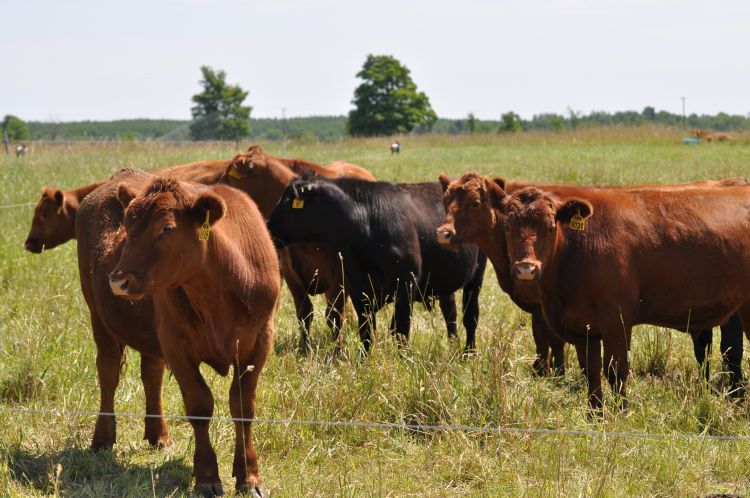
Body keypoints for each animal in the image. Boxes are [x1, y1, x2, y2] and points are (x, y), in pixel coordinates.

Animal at [222, 146, 376, 352]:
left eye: (228, 178)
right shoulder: (289, 272)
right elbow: (304, 313)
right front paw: (305, 349)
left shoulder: (339, 272)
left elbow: (334, 315)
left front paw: (338, 351)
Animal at [268, 175, 490, 354]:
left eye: (288, 202)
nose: (267, 227)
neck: (366, 224)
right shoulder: (358, 289)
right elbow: (366, 331)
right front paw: (366, 361)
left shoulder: (405, 285)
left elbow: (401, 330)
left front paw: (403, 360)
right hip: (443, 279)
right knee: (450, 313)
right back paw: (453, 345)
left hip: (476, 276)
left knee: (470, 316)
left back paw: (469, 353)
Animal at [438, 174, 748, 390]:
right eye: (508, 226)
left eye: (475, 203)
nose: (443, 232)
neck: (577, 245)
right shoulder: (574, 322)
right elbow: (589, 372)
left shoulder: (615, 321)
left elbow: (610, 369)